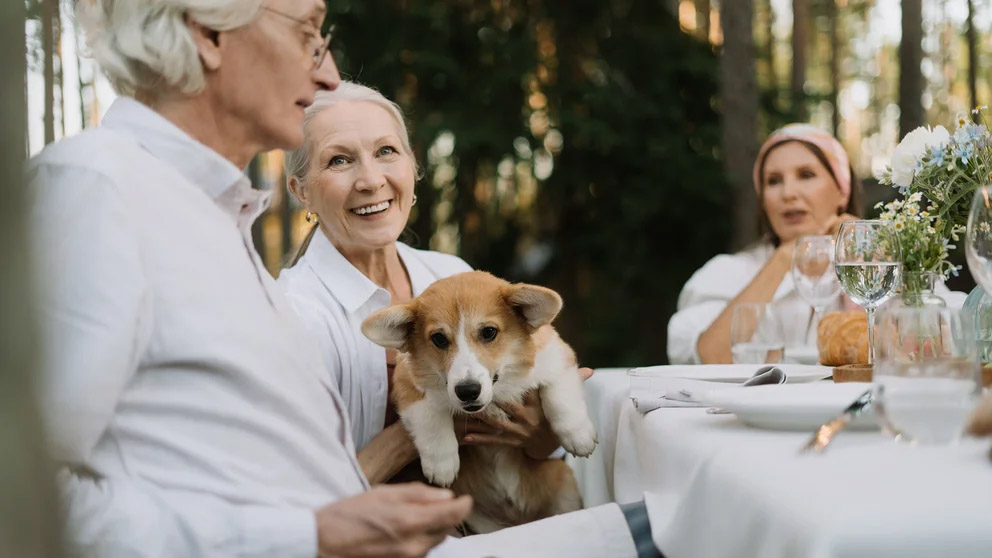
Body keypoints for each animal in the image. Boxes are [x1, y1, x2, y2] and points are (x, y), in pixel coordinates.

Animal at [364, 274, 596, 536]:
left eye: (488, 332)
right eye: (439, 339)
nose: (467, 391)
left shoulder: (557, 357)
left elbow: (559, 395)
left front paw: (578, 436)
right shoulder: (408, 385)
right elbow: (431, 418)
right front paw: (443, 464)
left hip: (565, 489)